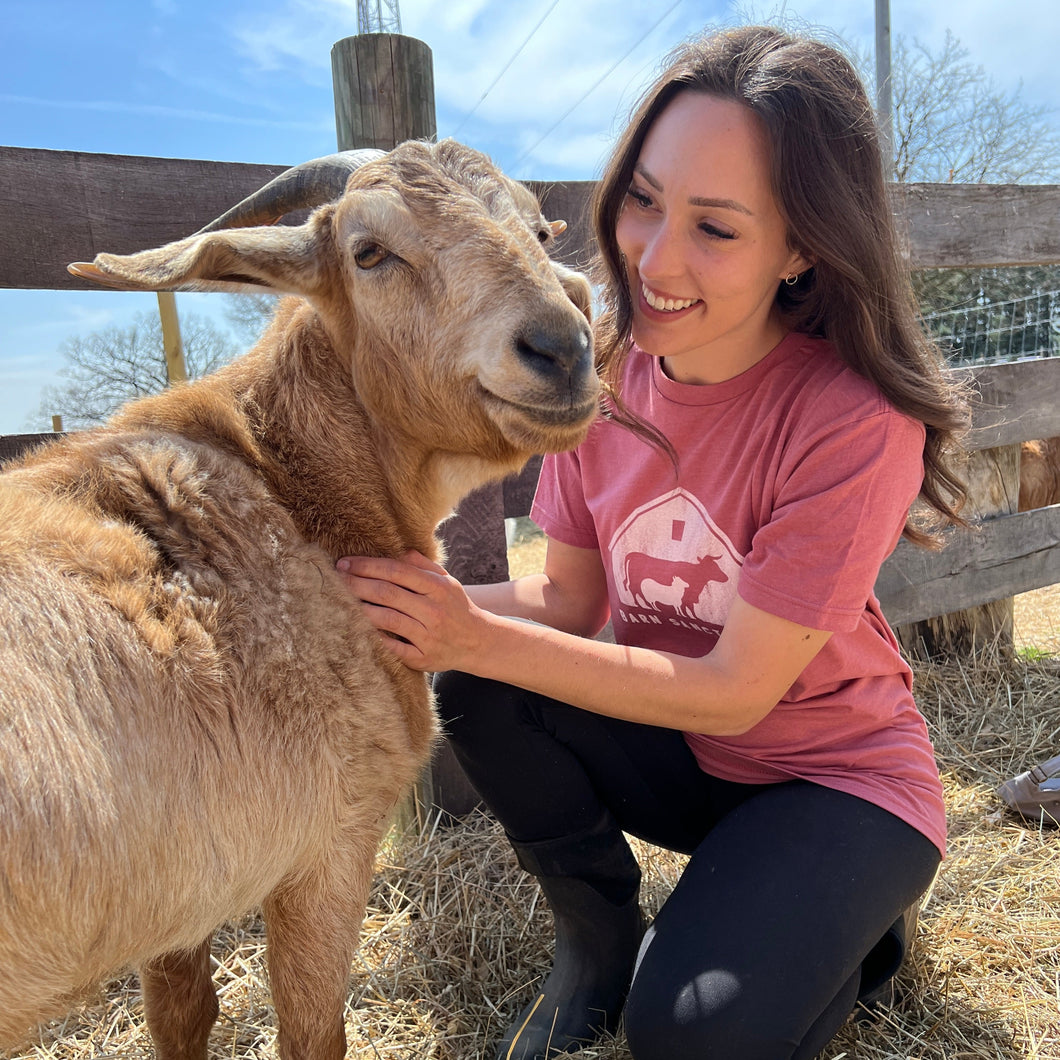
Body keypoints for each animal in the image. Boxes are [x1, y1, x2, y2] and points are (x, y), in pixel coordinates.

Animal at [0, 140, 597, 1060]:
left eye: (539, 229)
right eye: (369, 252)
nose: (562, 347)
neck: (291, 487)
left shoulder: (178, 890)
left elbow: (183, 1015)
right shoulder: (331, 842)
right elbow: (313, 1034)